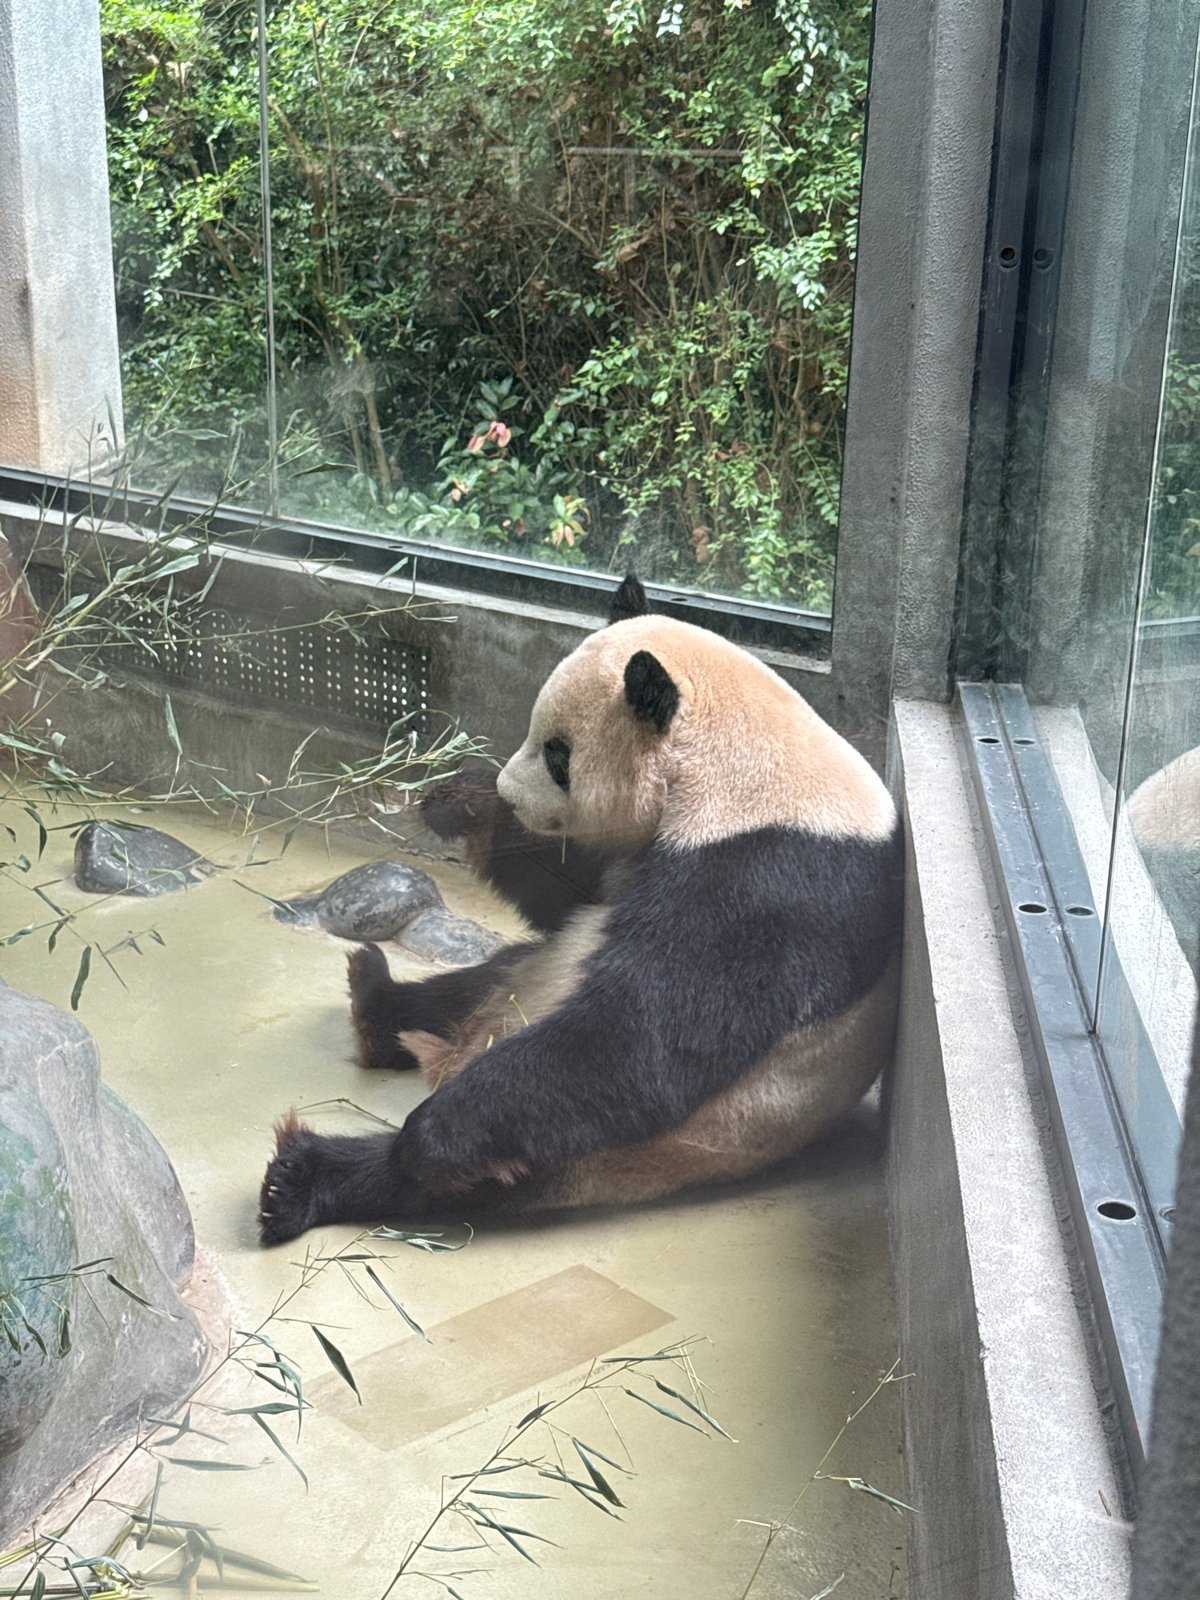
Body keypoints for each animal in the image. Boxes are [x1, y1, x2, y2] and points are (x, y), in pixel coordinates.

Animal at [258, 577, 903, 1244]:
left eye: (558, 755)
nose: (511, 793)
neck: (739, 763)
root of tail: (457, 1052)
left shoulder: (767, 881)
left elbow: (642, 1038)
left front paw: (434, 1136)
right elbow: (571, 894)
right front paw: (463, 801)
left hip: (599, 1153)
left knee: (446, 1174)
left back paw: (313, 1176)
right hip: (530, 988)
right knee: (487, 979)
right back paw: (374, 1002)